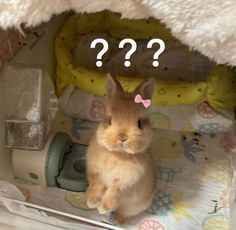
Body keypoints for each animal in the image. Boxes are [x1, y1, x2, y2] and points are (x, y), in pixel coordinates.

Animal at [85, 74, 156, 225]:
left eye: (139, 123)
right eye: (109, 120)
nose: (122, 138)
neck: (117, 154)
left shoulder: (125, 180)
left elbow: (114, 191)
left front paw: (103, 208)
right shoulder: (95, 170)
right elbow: (96, 184)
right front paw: (92, 202)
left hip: (135, 206)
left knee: (124, 212)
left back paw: (116, 221)